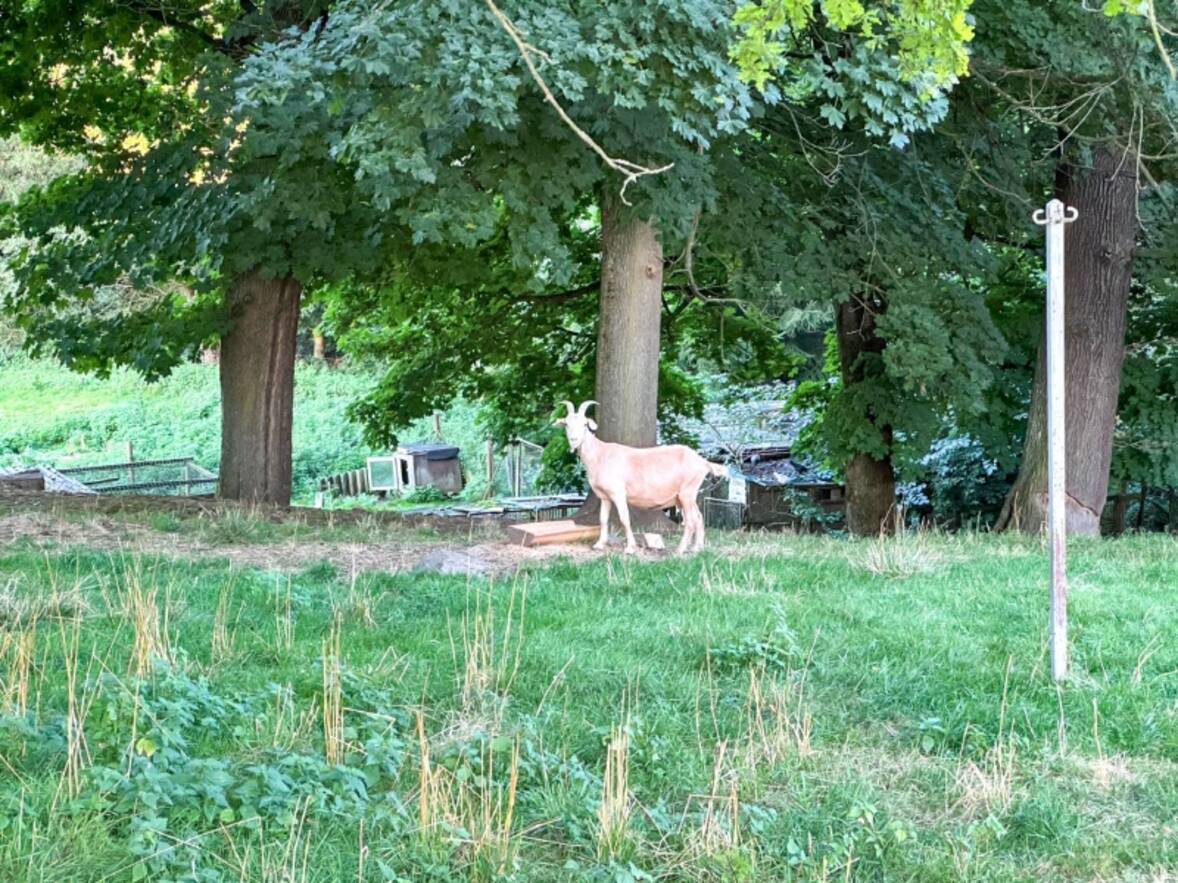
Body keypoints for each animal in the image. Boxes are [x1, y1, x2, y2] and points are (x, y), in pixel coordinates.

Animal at [554, 400, 726, 554]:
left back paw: (680, 550)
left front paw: (630, 548)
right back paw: (697, 548)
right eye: (566, 424)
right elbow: (603, 519)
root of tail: (703, 462)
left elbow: (625, 518)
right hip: (687, 495)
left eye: (584, 424)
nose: (574, 440)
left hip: (687, 493)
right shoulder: (604, 496)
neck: (599, 455)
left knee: (690, 520)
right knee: (699, 517)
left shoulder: (618, 493)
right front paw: (599, 545)